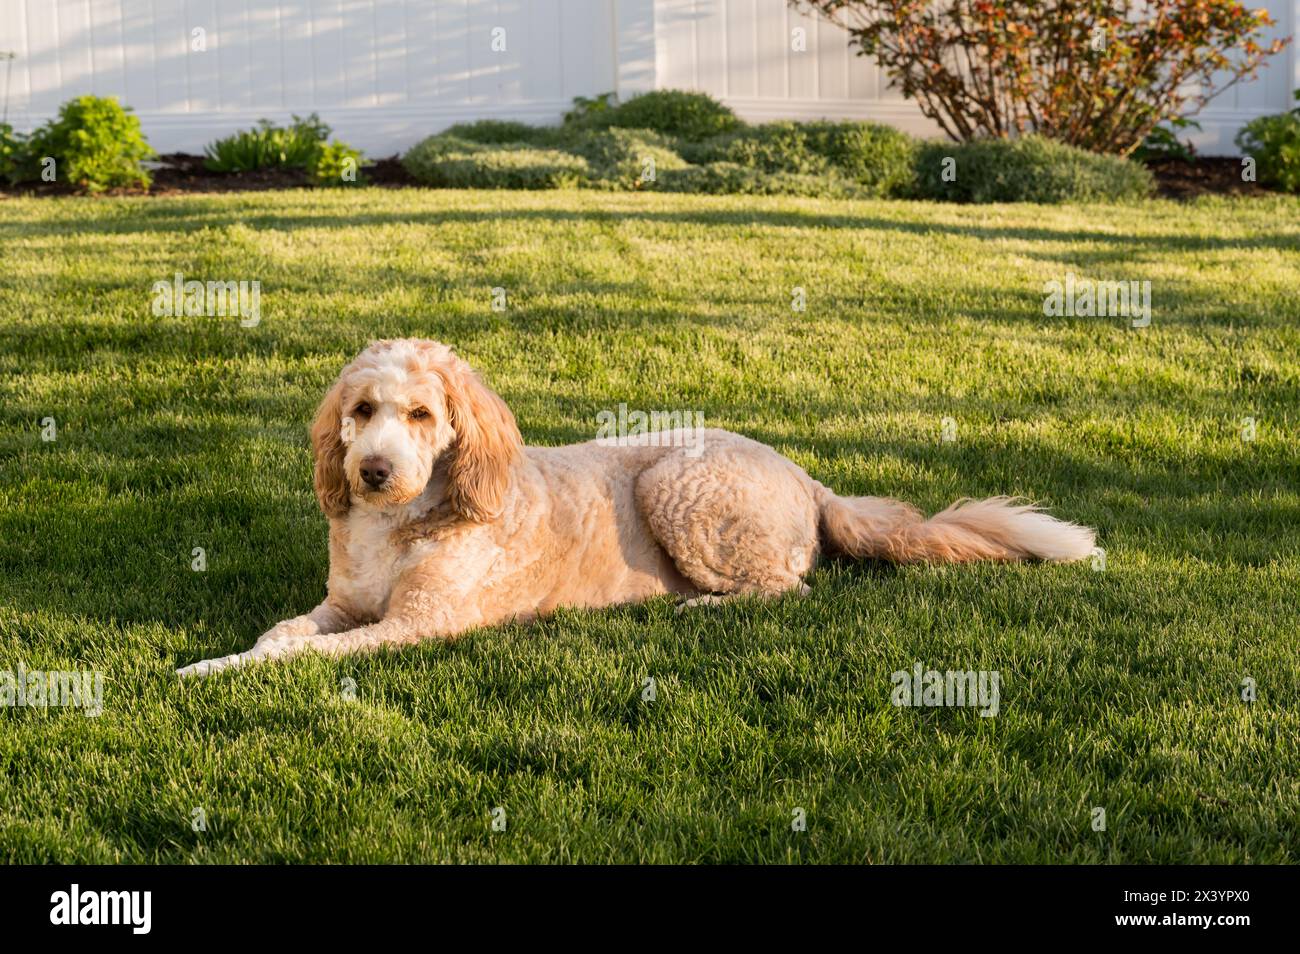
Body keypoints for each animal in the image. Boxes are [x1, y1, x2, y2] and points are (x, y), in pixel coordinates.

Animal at [178, 337, 1097, 681]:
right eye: (362, 409)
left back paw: (698, 611)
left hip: (679, 490)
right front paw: (214, 660)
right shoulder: (341, 604)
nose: (370, 471)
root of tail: (806, 478)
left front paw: (219, 674)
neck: (402, 523)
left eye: (422, 416)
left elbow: (299, 658)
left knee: (785, 590)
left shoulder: (417, 625)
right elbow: (283, 633)